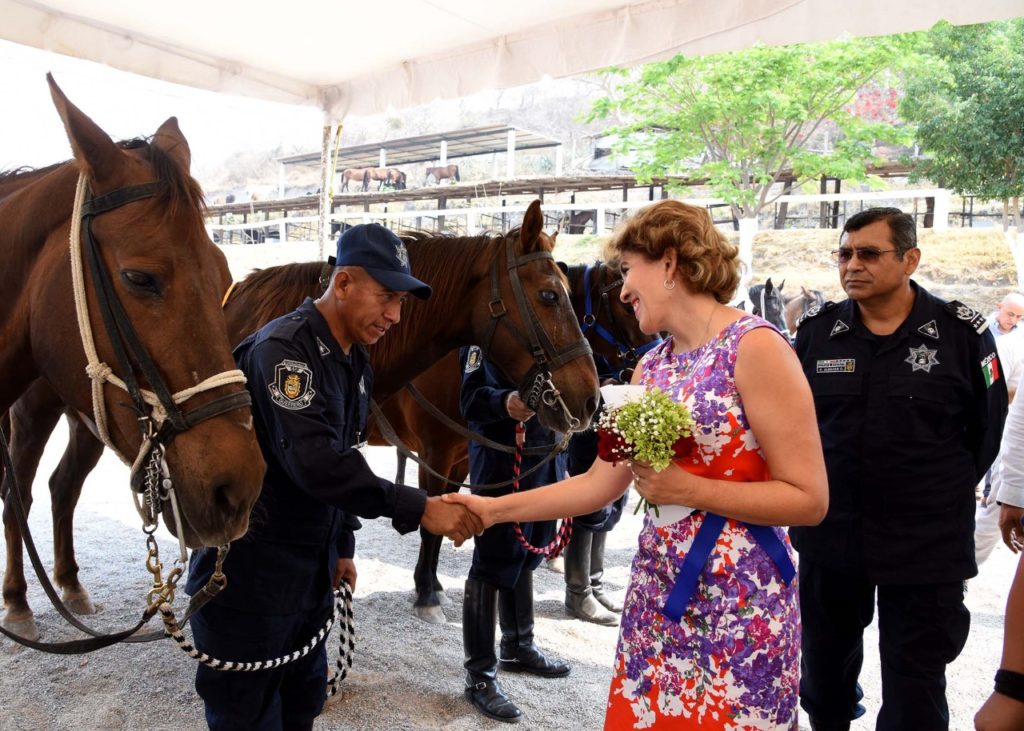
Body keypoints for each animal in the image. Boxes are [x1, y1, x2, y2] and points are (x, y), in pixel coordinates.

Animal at [2, 200, 598, 638]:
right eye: (550, 295)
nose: (590, 398)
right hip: (33, 418)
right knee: (20, 497)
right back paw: (20, 604)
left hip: (93, 423)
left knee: (62, 488)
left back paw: (71, 586)